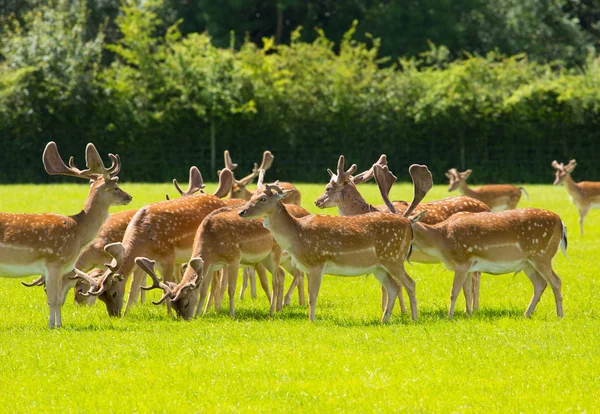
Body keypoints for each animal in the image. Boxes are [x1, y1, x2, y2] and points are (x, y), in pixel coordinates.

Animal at [0, 142, 131, 326]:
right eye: (116, 188)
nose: (129, 197)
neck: (77, 232)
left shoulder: (61, 267)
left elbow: (57, 298)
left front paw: (59, 324)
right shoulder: (53, 261)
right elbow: (54, 299)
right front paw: (52, 326)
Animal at [72, 167, 234, 316]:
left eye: (114, 293)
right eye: (101, 297)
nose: (114, 314)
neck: (145, 239)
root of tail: (221, 201)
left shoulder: (169, 256)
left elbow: (167, 287)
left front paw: (169, 315)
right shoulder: (141, 260)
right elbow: (133, 289)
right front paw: (126, 314)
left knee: (216, 279)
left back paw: (209, 310)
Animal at [234, 165, 432, 324]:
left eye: (263, 199)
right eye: (253, 196)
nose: (241, 212)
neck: (296, 236)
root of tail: (408, 224)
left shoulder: (316, 262)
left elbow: (312, 296)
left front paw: (311, 322)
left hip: (394, 258)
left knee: (410, 283)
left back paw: (414, 318)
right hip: (379, 266)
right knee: (393, 287)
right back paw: (384, 320)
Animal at [314, 154, 492, 310]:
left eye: (327, 188)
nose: (317, 201)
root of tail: (487, 207)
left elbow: (396, 284)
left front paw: (401, 311)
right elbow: (385, 285)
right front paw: (385, 309)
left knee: (477, 275)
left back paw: (475, 308)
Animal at [376, 164, 568, 316]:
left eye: (404, 226)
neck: (441, 240)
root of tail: (561, 222)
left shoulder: (463, 261)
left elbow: (454, 292)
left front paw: (450, 317)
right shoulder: (469, 266)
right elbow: (466, 291)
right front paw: (468, 315)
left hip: (542, 255)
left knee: (556, 281)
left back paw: (559, 315)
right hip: (527, 262)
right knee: (540, 284)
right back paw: (527, 314)